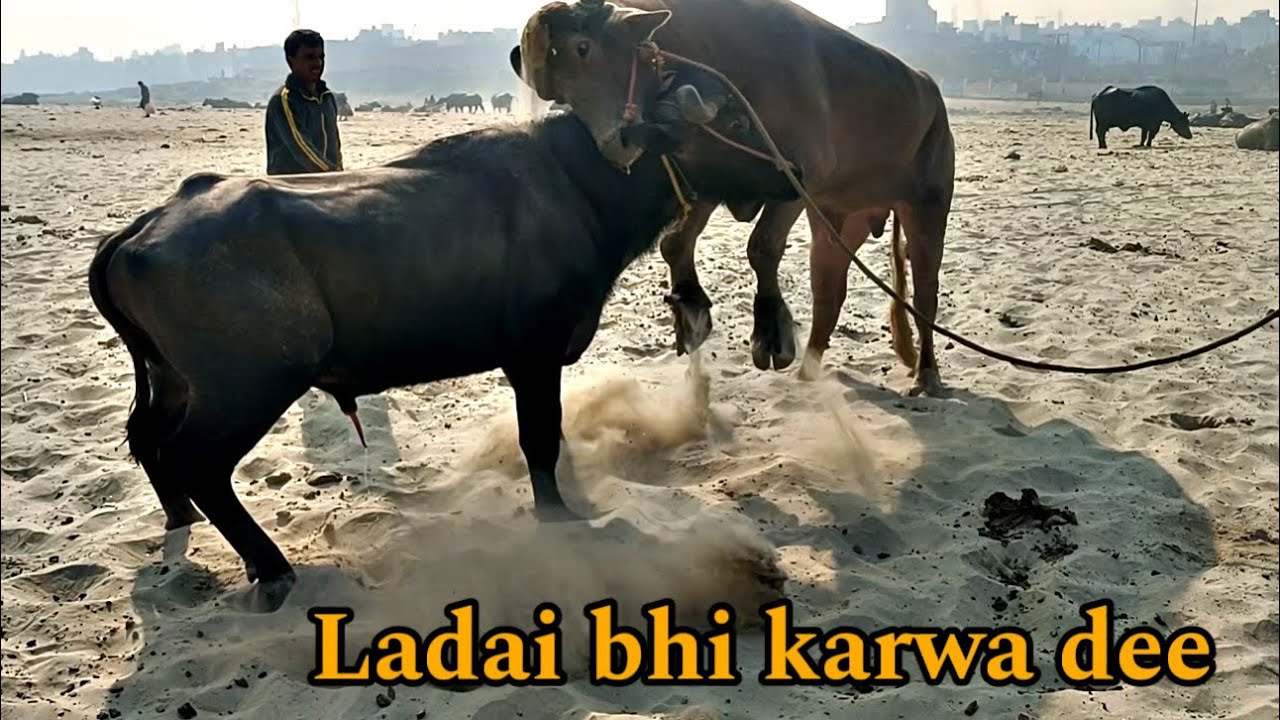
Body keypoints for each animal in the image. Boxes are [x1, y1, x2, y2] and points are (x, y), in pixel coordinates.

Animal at [86, 101, 779, 611]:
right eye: (734, 123)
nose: (785, 163)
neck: (577, 186)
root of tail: (145, 226)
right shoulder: (533, 355)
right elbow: (539, 438)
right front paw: (555, 514)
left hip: (172, 380)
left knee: (148, 440)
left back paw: (180, 520)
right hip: (248, 388)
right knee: (195, 463)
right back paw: (270, 566)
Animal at [511, 0, 956, 396]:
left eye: (582, 49)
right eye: (558, 92)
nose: (617, 145)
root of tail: (930, 89)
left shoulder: (800, 174)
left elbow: (761, 246)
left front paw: (771, 335)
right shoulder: (710, 173)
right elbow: (675, 243)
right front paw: (690, 311)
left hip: (928, 206)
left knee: (925, 293)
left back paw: (927, 376)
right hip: (839, 220)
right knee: (829, 289)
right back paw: (810, 372)